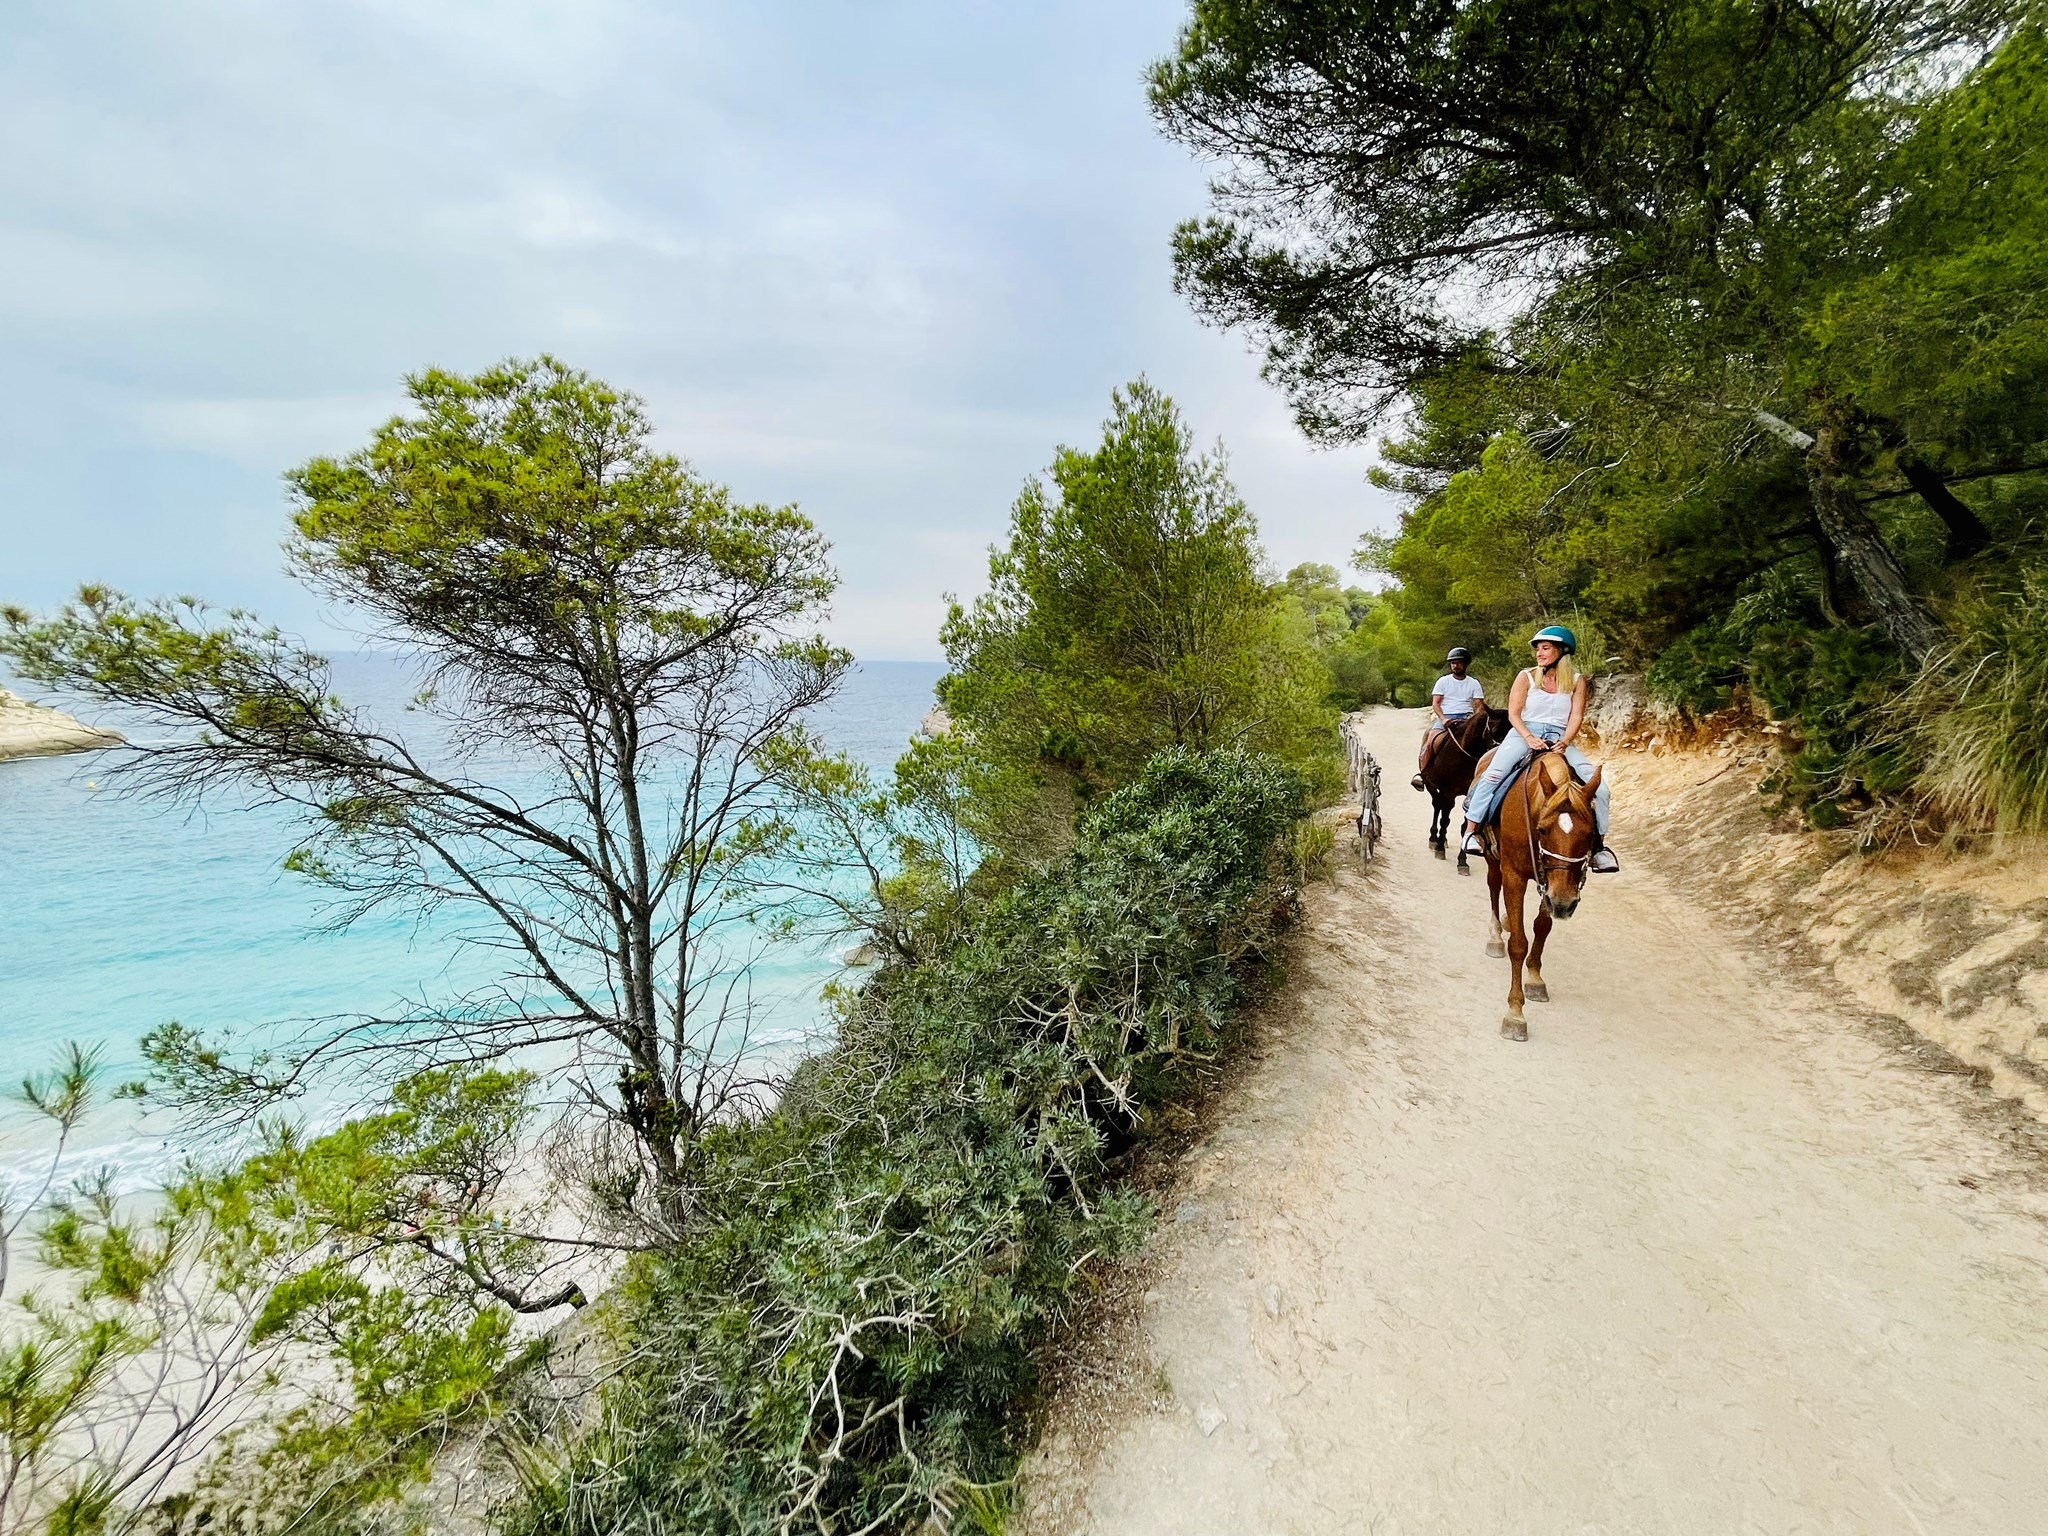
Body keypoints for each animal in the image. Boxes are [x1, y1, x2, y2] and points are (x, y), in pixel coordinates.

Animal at [1418, 706, 1509, 872]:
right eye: (1494, 730)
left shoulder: (1470, 796)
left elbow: (1465, 827)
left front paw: (1462, 861)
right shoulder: (1449, 791)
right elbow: (1444, 820)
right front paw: (1440, 849)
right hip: (1431, 785)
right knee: (1437, 806)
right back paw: (1434, 839)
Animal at [1474, 745, 1604, 1042]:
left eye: (1589, 833)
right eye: (1542, 829)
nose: (1565, 904)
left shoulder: (1552, 886)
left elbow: (1542, 927)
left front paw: (1534, 979)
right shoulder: (1514, 875)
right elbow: (1518, 944)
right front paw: (1515, 1013)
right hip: (1492, 857)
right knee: (1493, 886)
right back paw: (1496, 934)